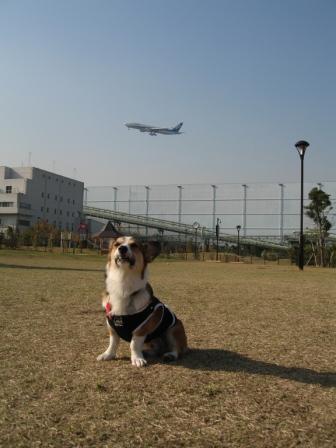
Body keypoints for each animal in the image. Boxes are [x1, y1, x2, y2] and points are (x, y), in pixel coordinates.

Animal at [97, 236, 188, 366]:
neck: (123, 280)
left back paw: (169, 355)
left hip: (173, 330)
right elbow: (113, 343)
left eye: (134, 245)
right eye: (117, 244)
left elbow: (134, 344)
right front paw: (108, 355)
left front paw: (137, 359)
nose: (122, 248)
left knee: (177, 349)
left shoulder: (142, 329)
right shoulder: (112, 326)